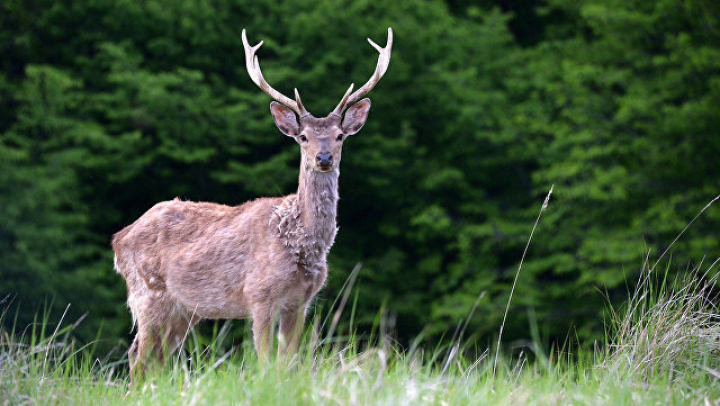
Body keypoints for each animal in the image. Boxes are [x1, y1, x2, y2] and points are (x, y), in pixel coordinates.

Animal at [112, 27, 394, 380]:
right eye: (303, 137)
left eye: (340, 135)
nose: (324, 157)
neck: (301, 242)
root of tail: (118, 238)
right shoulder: (259, 294)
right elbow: (264, 361)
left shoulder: (301, 302)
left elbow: (288, 362)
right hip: (147, 292)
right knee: (138, 356)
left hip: (183, 309)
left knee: (156, 358)